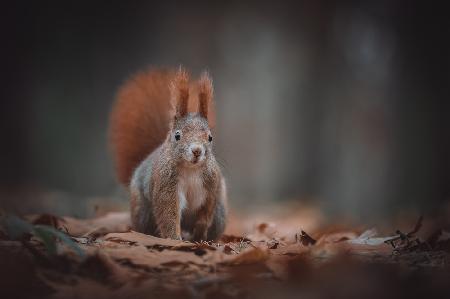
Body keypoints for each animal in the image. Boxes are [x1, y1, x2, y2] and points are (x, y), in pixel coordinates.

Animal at [109, 68, 229, 241]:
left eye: (210, 137)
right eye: (177, 135)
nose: (197, 151)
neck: (191, 169)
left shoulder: (211, 185)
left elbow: (206, 211)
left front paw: (200, 232)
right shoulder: (166, 185)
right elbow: (168, 214)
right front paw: (175, 239)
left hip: (220, 214)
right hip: (142, 210)